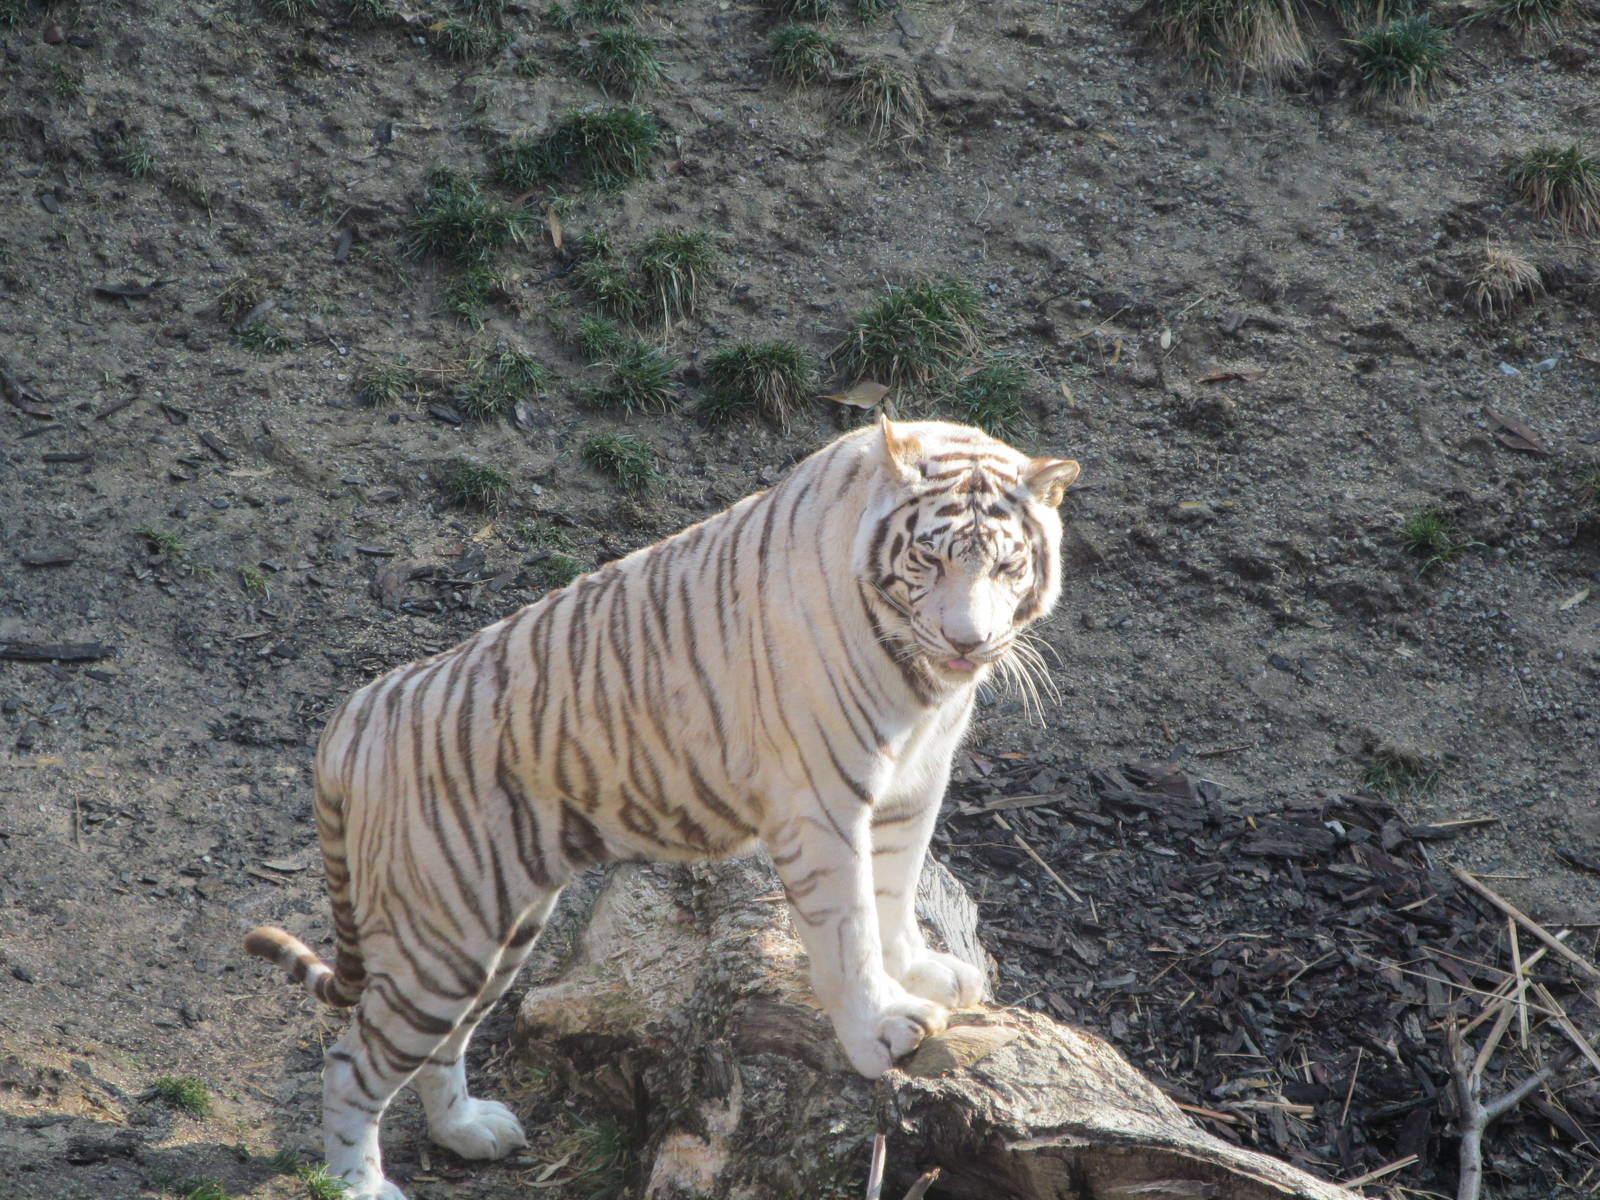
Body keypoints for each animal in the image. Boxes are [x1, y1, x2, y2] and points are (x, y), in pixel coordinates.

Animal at [245, 416, 1080, 1199]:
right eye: (930, 559)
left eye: (1007, 565)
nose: (967, 641)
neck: (923, 688)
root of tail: (355, 711)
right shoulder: (822, 800)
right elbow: (846, 930)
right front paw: (881, 1028)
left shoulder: (916, 779)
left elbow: (896, 888)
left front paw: (922, 972)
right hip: (439, 936)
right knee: (351, 1060)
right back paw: (357, 1183)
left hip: (494, 931)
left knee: (444, 1042)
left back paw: (469, 1130)